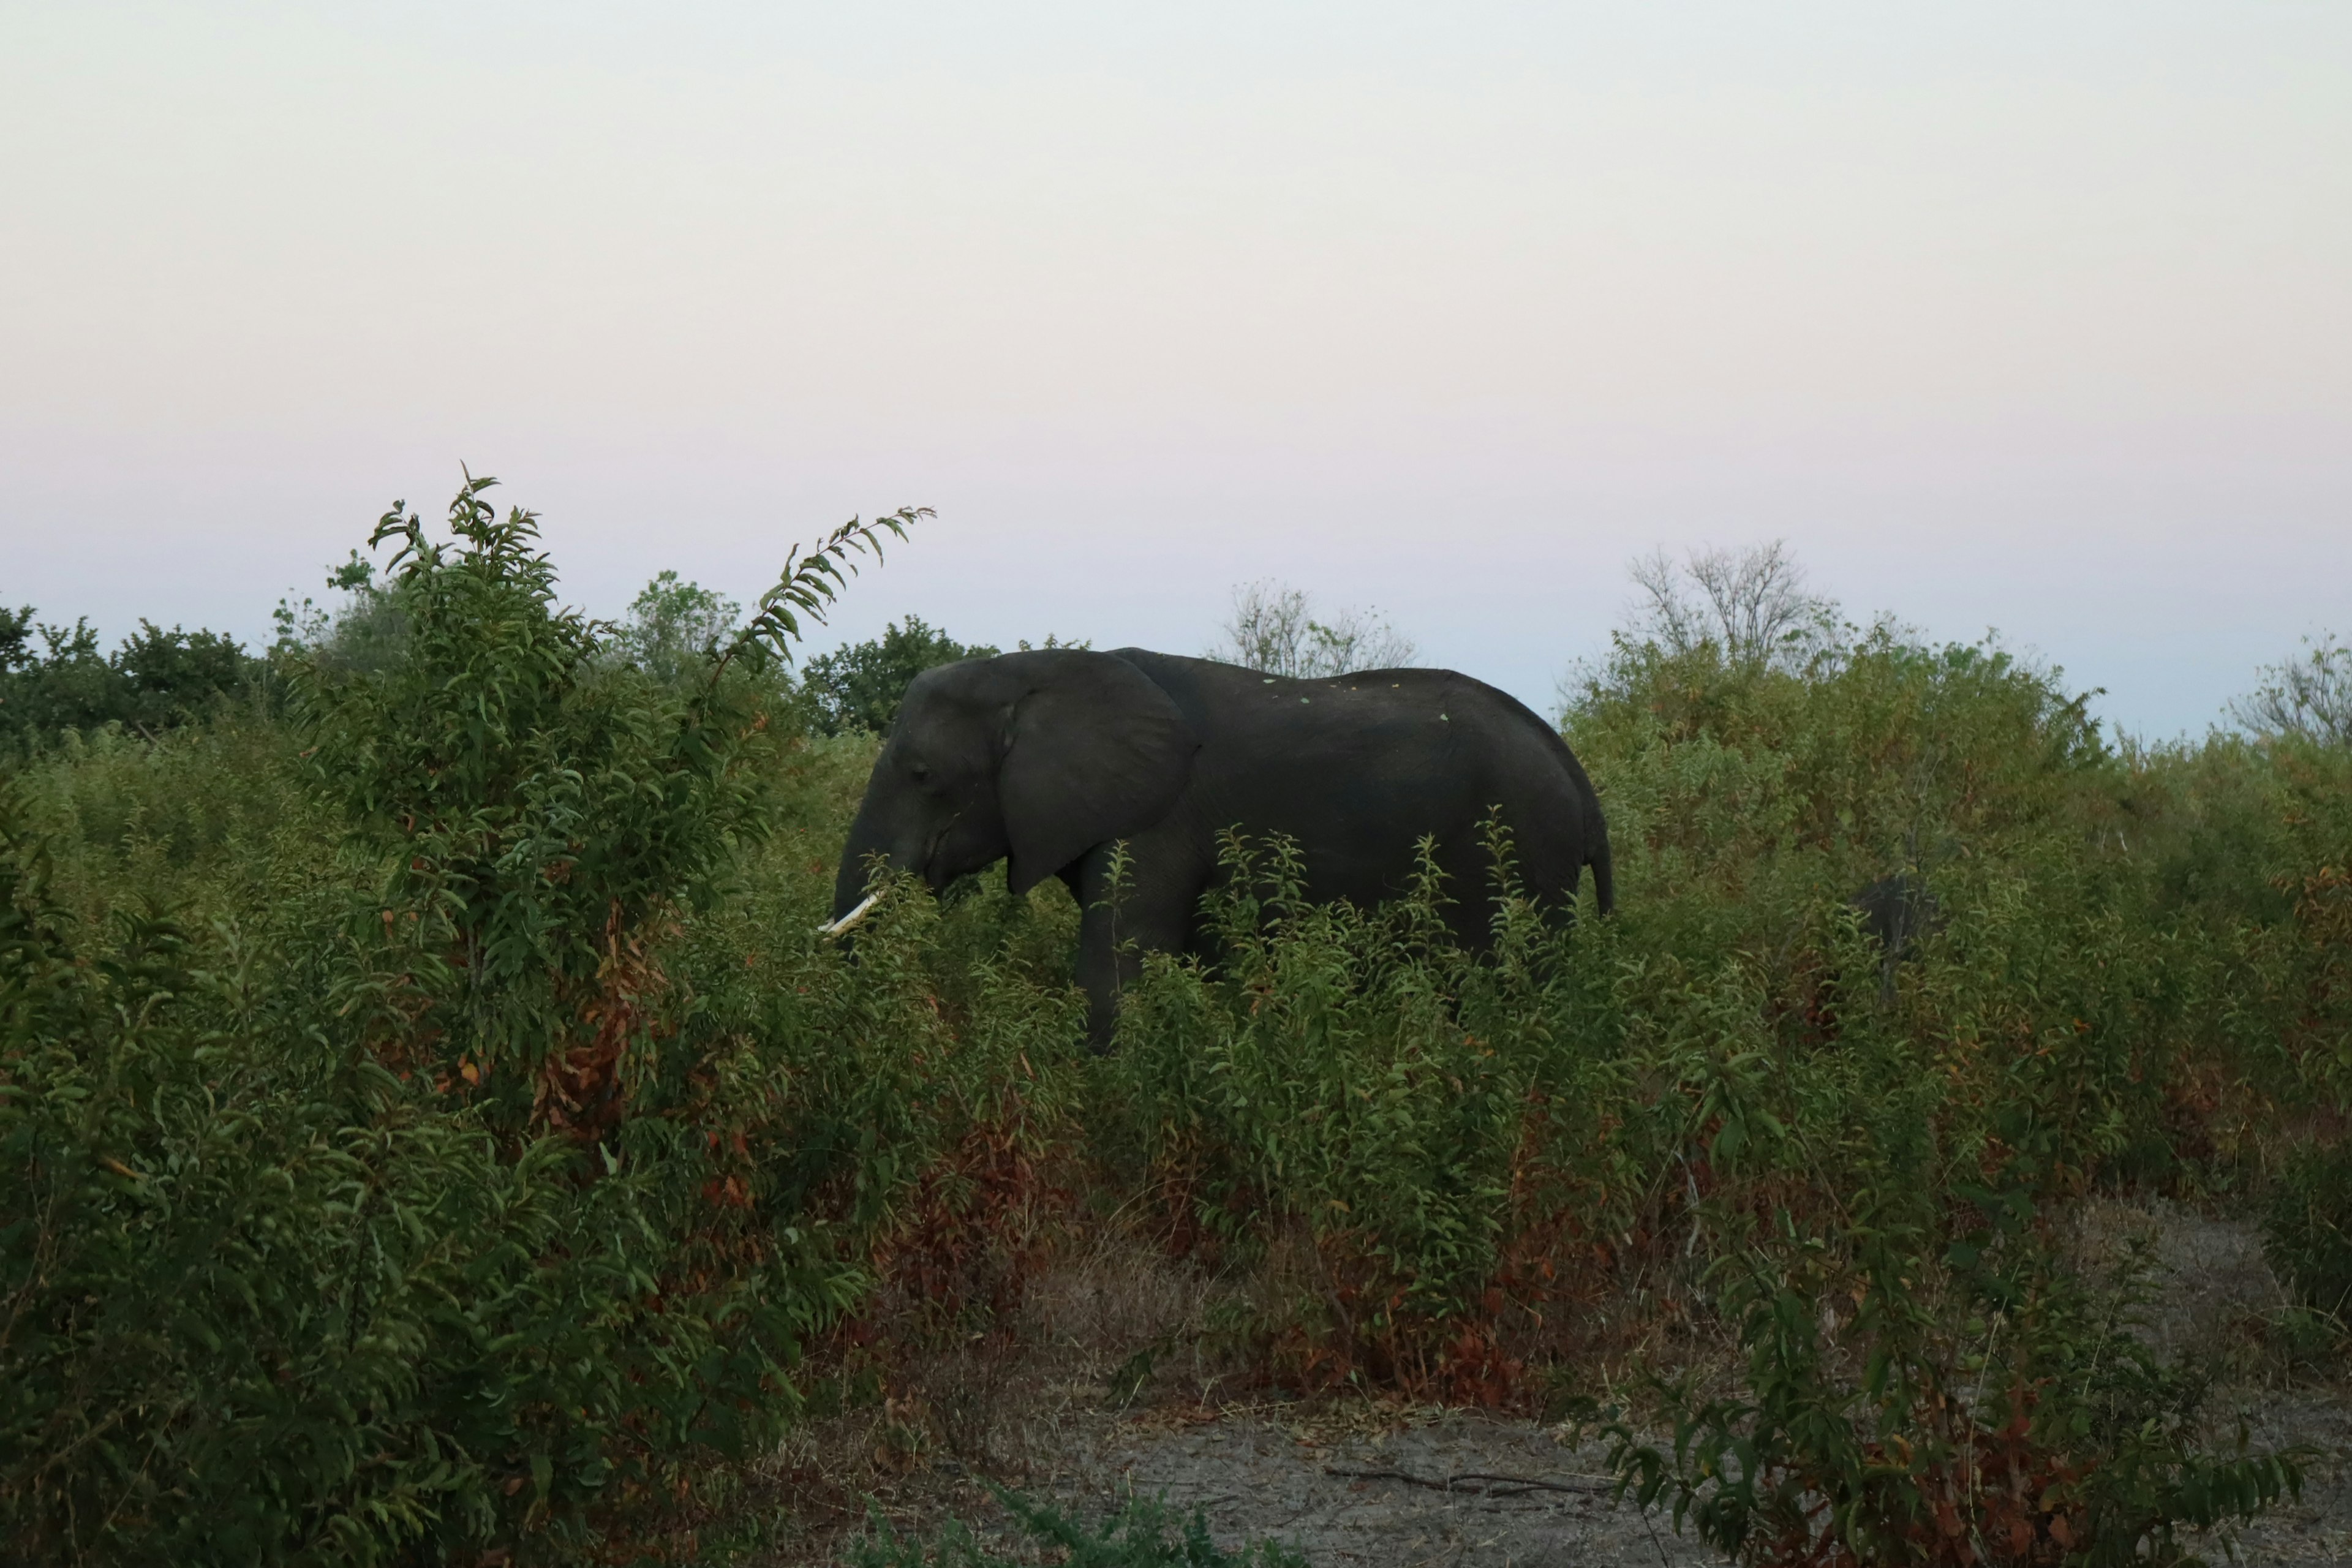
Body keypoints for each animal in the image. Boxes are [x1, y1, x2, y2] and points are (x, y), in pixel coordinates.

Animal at [818, 644, 1608, 1048]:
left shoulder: (1155, 821)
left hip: (1524, 853)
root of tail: (1575, 771)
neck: (1039, 670)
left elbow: (1115, 971)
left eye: (923, 774)